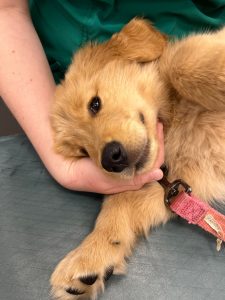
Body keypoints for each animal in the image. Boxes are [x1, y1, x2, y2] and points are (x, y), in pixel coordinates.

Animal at [50, 19, 225, 300]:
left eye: (94, 104)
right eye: (83, 152)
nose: (111, 159)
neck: (174, 120)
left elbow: (179, 64)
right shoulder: (174, 186)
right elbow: (117, 204)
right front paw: (91, 255)